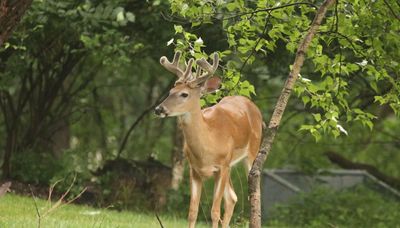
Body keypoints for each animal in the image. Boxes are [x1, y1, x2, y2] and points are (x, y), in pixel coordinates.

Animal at [155, 51, 264, 228]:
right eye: (170, 91)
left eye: (184, 94)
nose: (159, 109)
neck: (208, 144)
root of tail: (250, 104)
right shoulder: (194, 169)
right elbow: (192, 212)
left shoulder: (222, 166)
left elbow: (214, 212)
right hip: (229, 166)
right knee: (232, 198)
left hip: (251, 152)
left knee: (253, 192)